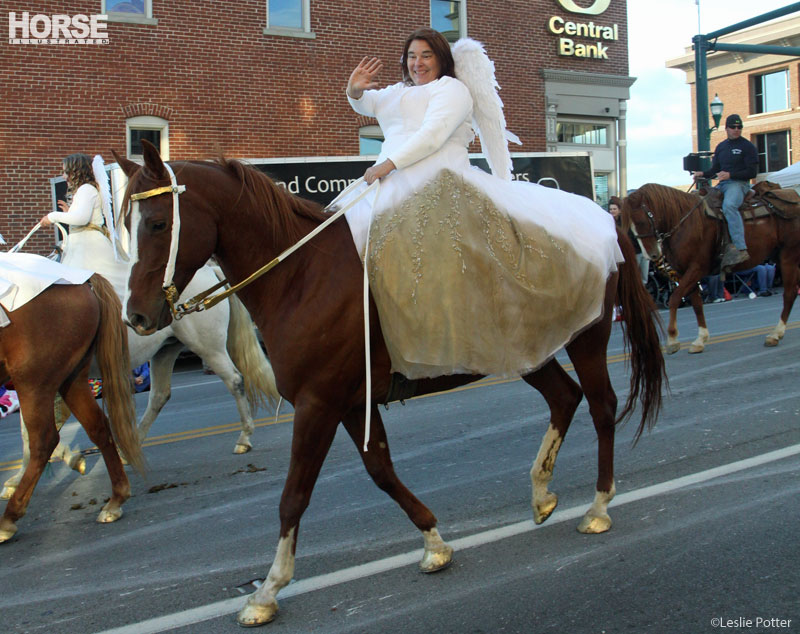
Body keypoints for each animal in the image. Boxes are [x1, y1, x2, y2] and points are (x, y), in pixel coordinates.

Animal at [0, 270, 145, 540]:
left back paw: (9, 518)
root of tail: (84, 281)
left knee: (44, 441)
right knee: (98, 427)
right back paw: (115, 501)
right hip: (71, 379)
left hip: (34, 381)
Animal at [114, 141, 664, 624]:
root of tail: (605, 220)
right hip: (529, 348)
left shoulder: (317, 404)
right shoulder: (349, 403)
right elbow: (380, 470)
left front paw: (267, 591)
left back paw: (598, 506)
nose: (136, 316)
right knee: (565, 398)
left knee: (601, 405)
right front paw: (435, 543)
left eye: (158, 223)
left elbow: (294, 495)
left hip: (586, 339)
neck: (301, 276)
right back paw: (541, 492)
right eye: (125, 224)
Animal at [624, 181, 800, 356]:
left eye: (641, 222)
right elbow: (696, 303)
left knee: (789, 294)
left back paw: (775, 334)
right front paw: (700, 340)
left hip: (789, 255)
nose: (652, 255)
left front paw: (672, 340)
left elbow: (675, 298)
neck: (685, 222)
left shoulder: (696, 268)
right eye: (630, 228)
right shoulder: (684, 272)